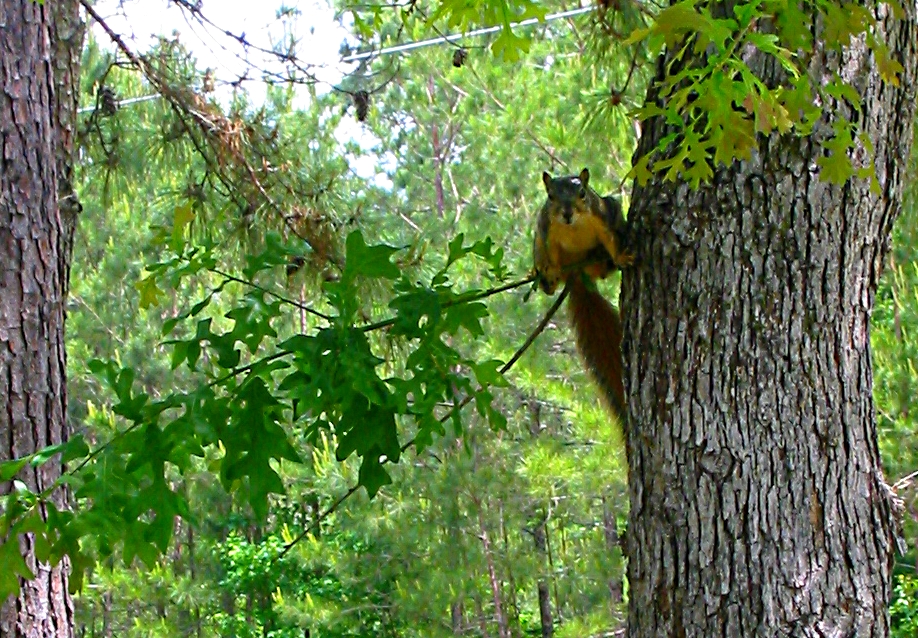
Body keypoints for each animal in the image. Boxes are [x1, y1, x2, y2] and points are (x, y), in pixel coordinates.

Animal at [532, 168, 633, 423]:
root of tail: (577, 276)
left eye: (582, 193)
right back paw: (546, 280)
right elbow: (551, 254)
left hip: (611, 211)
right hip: (537, 242)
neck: (572, 227)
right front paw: (551, 271)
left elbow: (610, 240)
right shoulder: (547, 232)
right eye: (550, 196)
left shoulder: (600, 218)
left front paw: (620, 257)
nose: (567, 213)